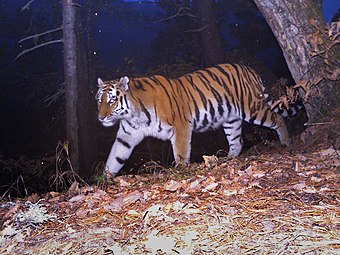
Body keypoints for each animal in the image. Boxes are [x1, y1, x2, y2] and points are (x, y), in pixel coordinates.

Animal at [97, 63, 290, 177]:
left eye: (112, 100)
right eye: (99, 100)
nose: (101, 117)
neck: (134, 115)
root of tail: (249, 69)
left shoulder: (181, 127)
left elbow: (181, 154)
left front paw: (181, 172)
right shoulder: (126, 136)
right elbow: (114, 159)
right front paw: (105, 179)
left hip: (252, 108)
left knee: (278, 118)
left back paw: (286, 143)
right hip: (231, 119)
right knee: (237, 141)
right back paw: (228, 159)